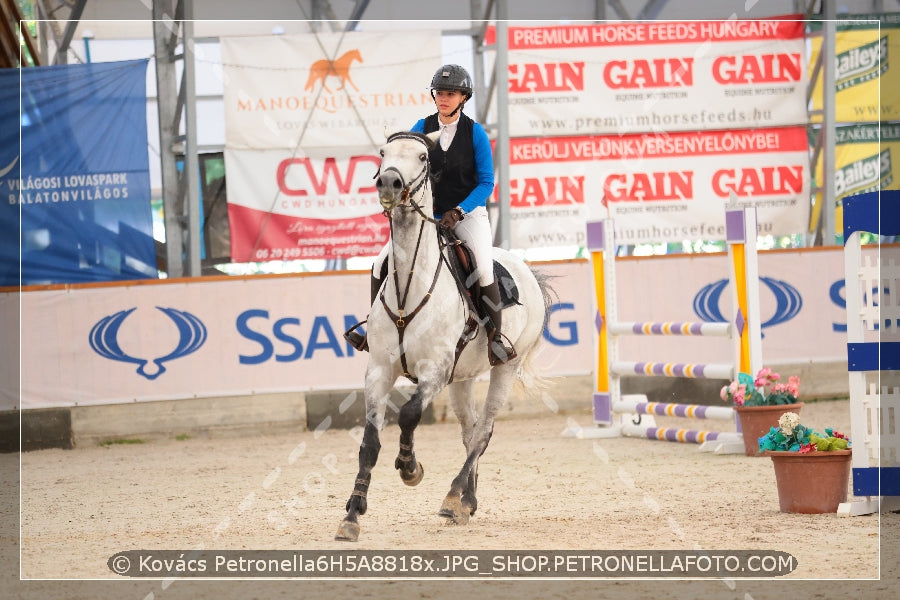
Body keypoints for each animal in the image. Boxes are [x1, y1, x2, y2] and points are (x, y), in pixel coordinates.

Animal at [334, 131, 552, 544]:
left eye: (423, 157)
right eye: (383, 152)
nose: (389, 183)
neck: (410, 287)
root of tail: (527, 271)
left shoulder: (433, 371)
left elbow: (408, 414)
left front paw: (410, 468)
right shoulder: (379, 371)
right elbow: (369, 442)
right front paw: (352, 515)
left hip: (504, 368)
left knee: (483, 432)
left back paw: (452, 497)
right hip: (462, 379)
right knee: (469, 432)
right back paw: (466, 501)